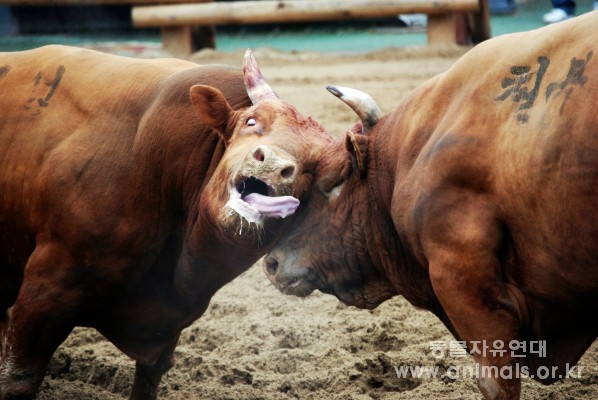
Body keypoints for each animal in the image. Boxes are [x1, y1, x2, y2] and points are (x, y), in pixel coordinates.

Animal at [0, 45, 332, 398]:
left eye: (315, 164)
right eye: (251, 121)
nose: (271, 163)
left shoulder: (165, 332)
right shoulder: (46, 290)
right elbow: (18, 379)